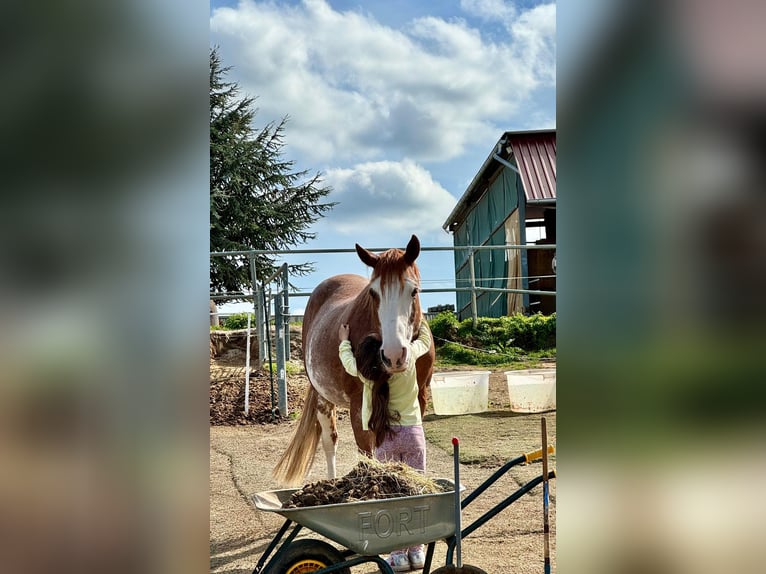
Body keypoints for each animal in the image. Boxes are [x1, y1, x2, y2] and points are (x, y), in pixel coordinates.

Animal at [272, 234, 436, 486]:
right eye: (373, 293)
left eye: (413, 291)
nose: (393, 355)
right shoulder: (360, 407)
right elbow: (367, 453)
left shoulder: (420, 397)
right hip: (322, 397)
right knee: (330, 442)